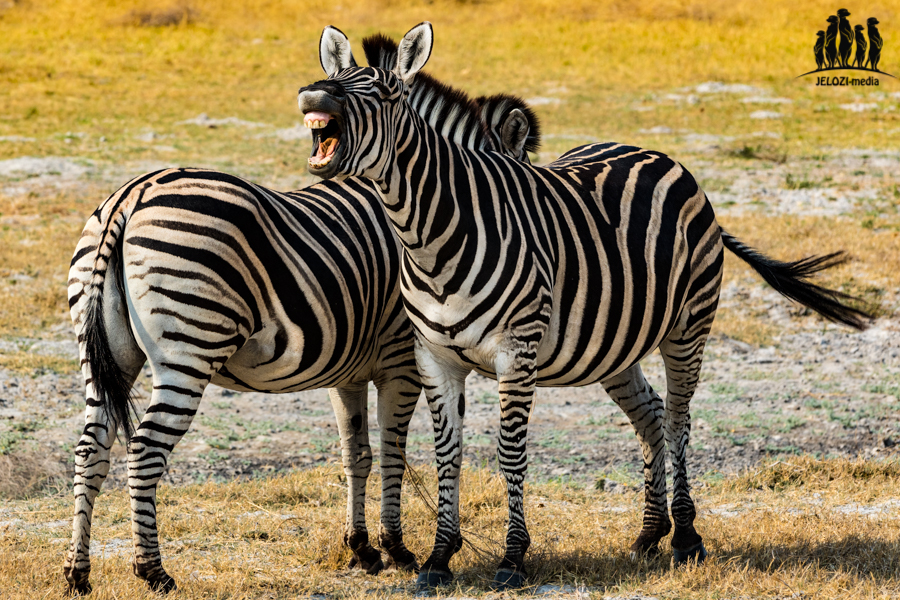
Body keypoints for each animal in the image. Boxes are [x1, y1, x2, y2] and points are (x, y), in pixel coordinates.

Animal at [63, 28, 540, 596]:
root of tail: (131, 195)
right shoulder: (402, 360)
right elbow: (393, 451)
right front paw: (398, 550)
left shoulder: (348, 371)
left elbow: (356, 454)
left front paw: (363, 549)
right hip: (189, 349)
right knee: (143, 452)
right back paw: (153, 571)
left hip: (107, 350)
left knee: (91, 448)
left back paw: (77, 572)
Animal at [298, 22, 872, 592]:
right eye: (336, 78)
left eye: (385, 91)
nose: (312, 95)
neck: (430, 235)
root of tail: (658, 155)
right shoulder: (434, 356)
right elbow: (447, 454)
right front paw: (439, 559)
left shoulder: (517, 351)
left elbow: (510, 451)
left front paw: (512, 558)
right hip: (616, 343)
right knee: (651, 415)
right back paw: (649, 534)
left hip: (689, 325)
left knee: (679, 418)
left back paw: (686, 537)